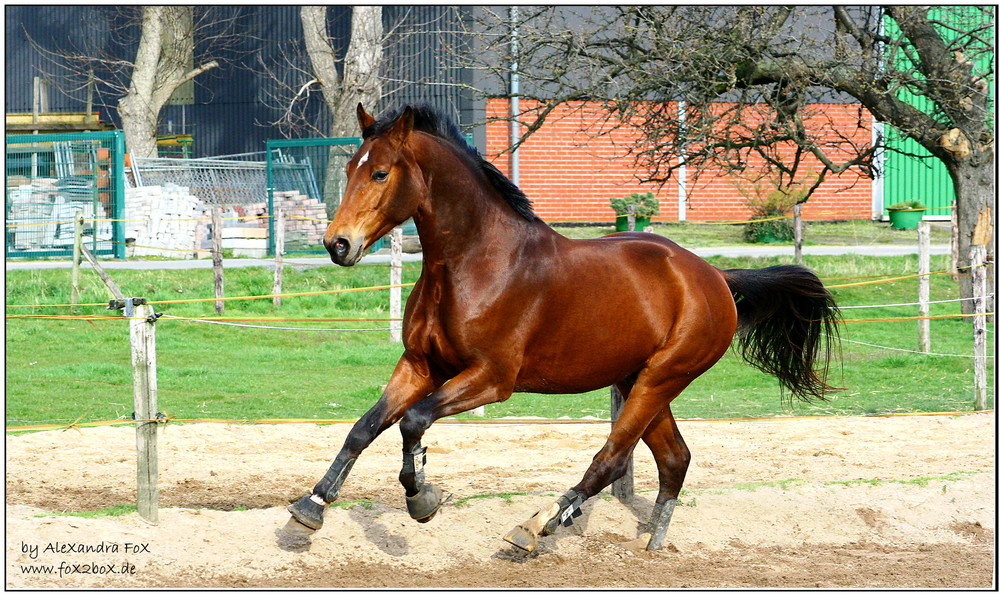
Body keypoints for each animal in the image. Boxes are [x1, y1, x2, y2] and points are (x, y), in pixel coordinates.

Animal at [286, 103, 840, 552]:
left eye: (380, 173)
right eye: (352, 169)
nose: (337, 245)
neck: (475, 264)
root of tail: (714, 277)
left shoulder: (491, 379)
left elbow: (413, 422)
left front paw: (423, 498)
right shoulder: (421, 365)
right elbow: (364, 428)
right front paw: (311, 508)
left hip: (662, 378)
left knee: (612, 458)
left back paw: (538, 527)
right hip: (637, 381)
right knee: (674, 459)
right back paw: (653, 545)